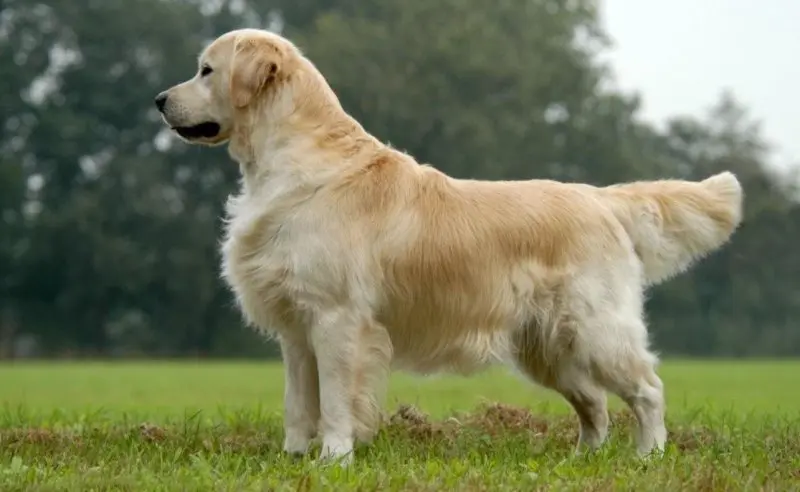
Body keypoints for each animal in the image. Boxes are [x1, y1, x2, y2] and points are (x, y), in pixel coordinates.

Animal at [156, 27, 744, 466]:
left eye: (206, 70)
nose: (159, 100)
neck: (296, 160)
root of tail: (599, 198)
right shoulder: (297, 329)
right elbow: (299, 403)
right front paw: (295, 458)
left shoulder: (338, 319)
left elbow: (336, 402)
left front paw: (334, 459)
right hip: (549, 348)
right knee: (595, 406)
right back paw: (580, 461)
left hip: (596, 330)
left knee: (648, 389)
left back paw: (649, 456)